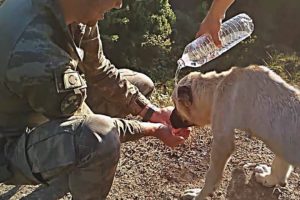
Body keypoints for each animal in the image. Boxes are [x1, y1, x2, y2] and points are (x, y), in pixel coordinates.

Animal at [170, 65, 298, 199]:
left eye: (175, 104)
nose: (169, 119)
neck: (217, 86)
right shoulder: (283, 147)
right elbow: (279, 168)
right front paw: (269, 179)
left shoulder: (222, 145)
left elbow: (210, 178)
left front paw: (198, 195)